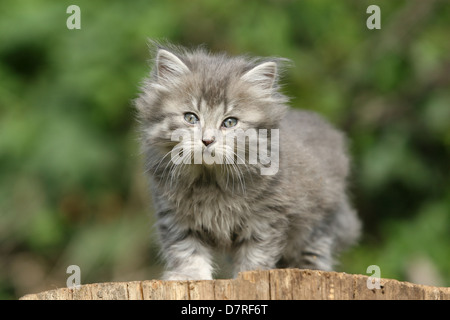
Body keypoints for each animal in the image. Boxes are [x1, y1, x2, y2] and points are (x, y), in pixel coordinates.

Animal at [135, 43, 360, 280]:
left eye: (229, 122)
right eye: (190, 118)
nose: (207, 140)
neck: (210, 182)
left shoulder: (265, 219)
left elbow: (255, 255)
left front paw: (249, 275)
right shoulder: (175, 216)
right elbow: (187, 251)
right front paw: (191, 277)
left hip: (318, 224)